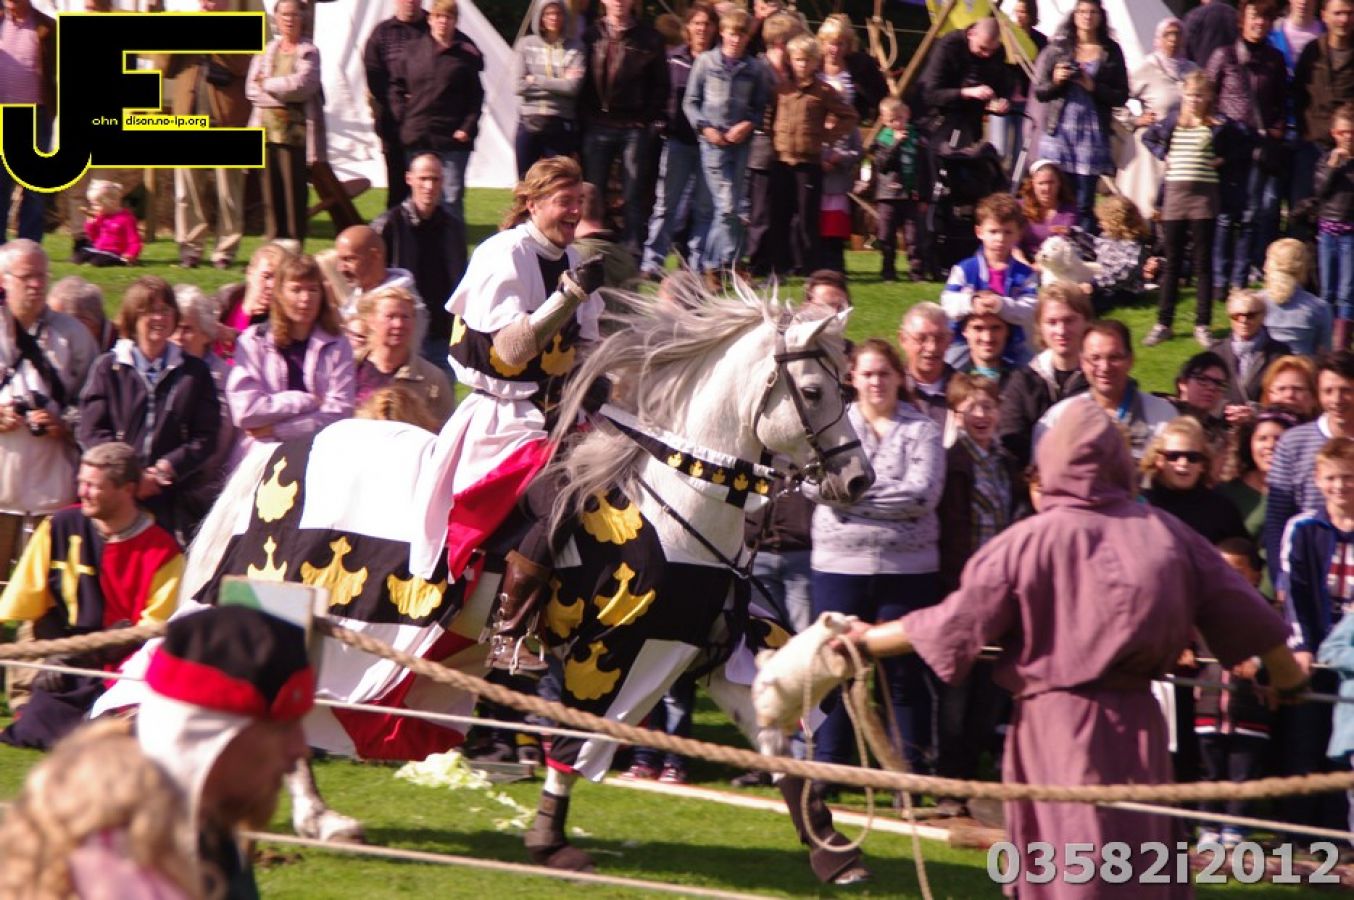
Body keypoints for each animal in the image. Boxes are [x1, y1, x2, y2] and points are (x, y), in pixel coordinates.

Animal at [96, 283, 875, 880]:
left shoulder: (706, 646)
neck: (677, 495)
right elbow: (573, 738)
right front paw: (550, 842)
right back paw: (301, 815)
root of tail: (282, 450)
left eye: (847, 385)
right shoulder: (613, 647)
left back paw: (311, 819)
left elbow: (780, 744)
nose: (858, 481)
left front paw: (833, 851)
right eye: (811, 390)